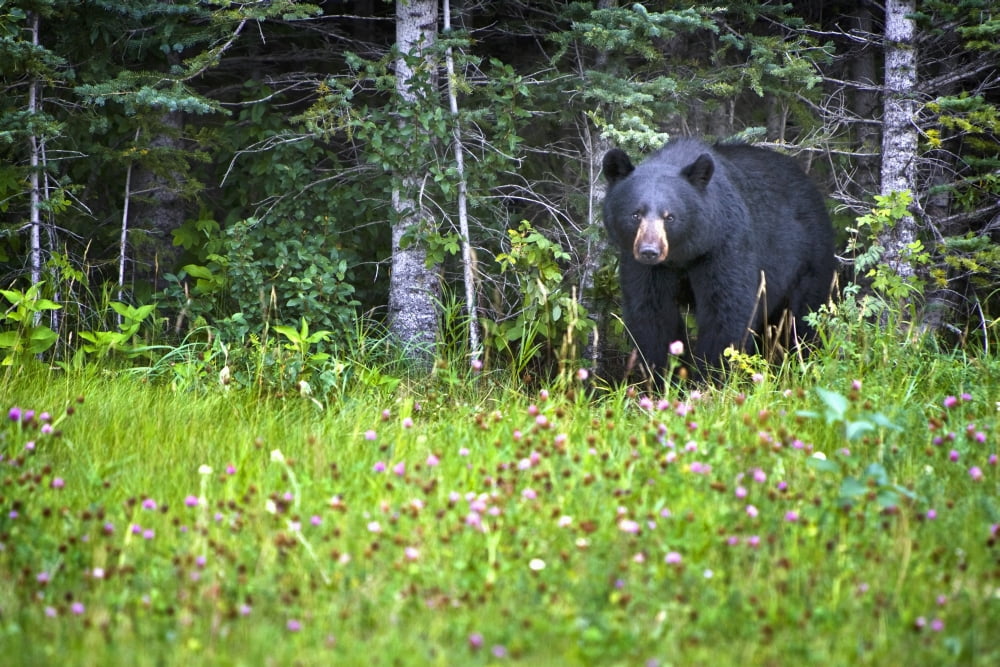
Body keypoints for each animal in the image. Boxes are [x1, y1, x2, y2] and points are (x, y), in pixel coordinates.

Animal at [601, 138, 836, 379]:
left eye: (670, 217)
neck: (683, 255)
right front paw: (664, 377)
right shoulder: (645, 267)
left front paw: (712, 377)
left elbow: (726, 311)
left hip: (809, 259)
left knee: (801, 320)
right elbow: (652, 314)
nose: (649, 251)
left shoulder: (723, 245)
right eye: (635, 214)